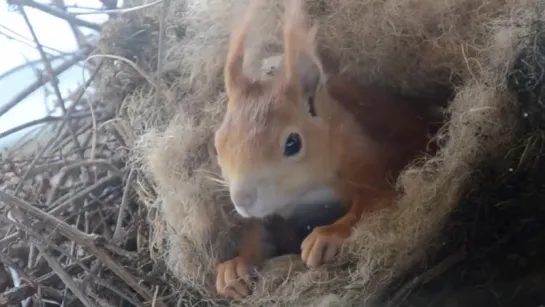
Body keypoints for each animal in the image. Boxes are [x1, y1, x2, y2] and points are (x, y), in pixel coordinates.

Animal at [212, 0, 442, 300]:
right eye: (218, 143)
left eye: (293, 143)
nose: (242, 199)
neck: (305, 192)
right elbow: (259, 234)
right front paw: (235, 266)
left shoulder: (367, 161)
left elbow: (374, 203)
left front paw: (328, 234)